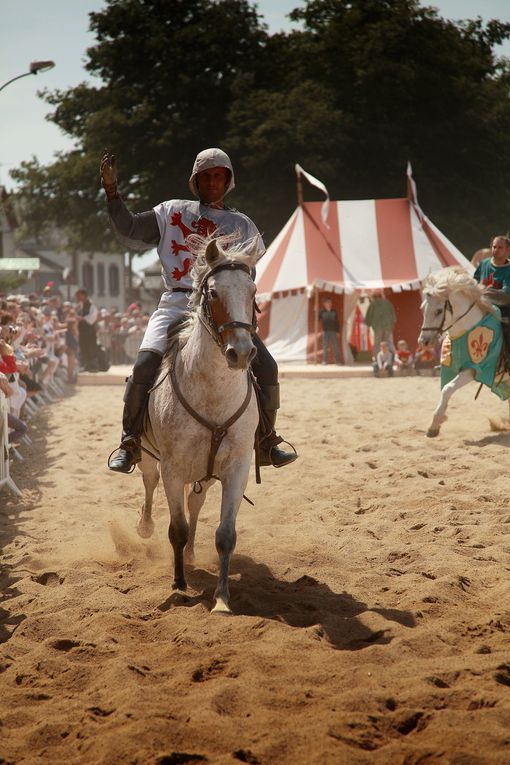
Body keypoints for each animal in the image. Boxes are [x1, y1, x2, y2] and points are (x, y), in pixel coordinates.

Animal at [136, 234, 258, 616]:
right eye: (214, 293)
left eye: (252, 291)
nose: (241, 353)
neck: (212, 391)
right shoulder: (172, 467)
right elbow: (175, 528)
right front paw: (178, 585)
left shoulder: (236, 468)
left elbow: (225, 535)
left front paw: (222, 598)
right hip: (148, 457)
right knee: (149, 485)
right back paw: (145, 527)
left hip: (206, 473)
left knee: (195, 503)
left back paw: (190, 552)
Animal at [416, 268, 508, 436]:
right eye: (423, 308)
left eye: (439, 311)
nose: (424, 341)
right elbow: (445, 389)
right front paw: (439, 420)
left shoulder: (474, 369)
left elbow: (447, 389)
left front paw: (434, 425)